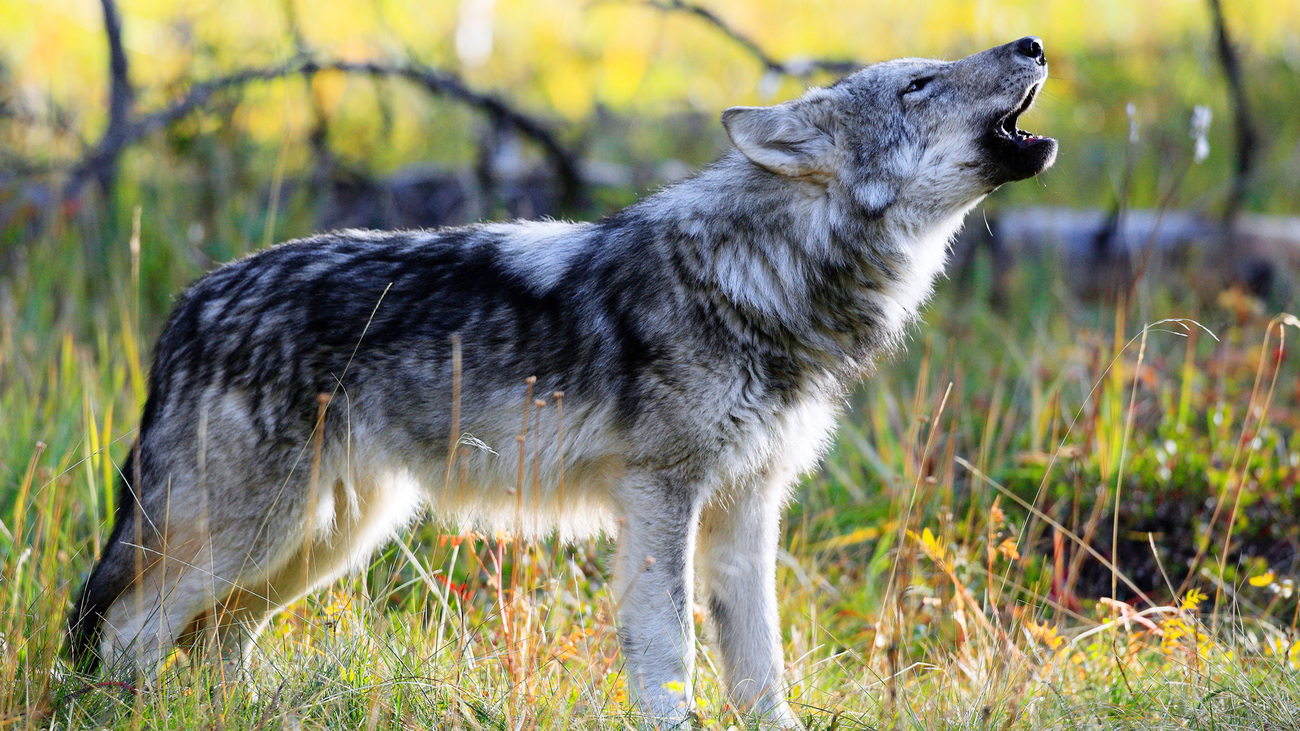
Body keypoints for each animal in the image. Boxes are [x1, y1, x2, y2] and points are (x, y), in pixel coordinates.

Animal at [68, 35, 1055, 728]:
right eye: (917, 85)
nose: (1033, 42)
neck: (761, 276)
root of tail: (189, 303)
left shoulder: (747, 506)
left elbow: (761, 664)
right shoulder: (662, 495)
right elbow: (670, 647)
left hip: (325, 539)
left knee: (215, 640)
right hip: (258, 536)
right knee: (130, 633)